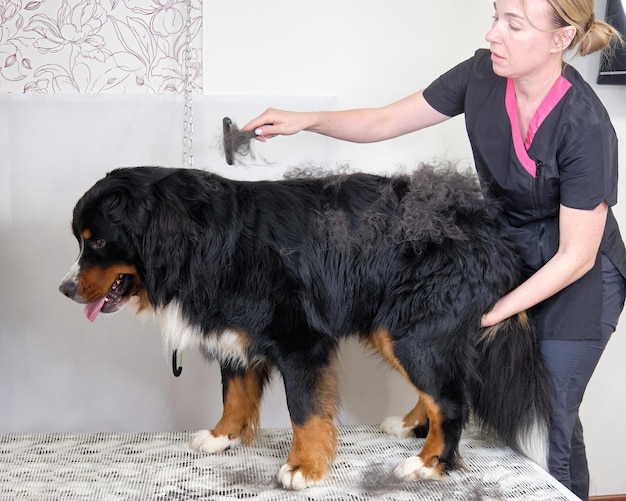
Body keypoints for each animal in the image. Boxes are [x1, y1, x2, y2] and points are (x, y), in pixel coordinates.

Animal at [58, 163, 548, 488]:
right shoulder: (234, 330)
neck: (203, 242)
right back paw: (410, 426)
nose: (64, 289)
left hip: (412, 329)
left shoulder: (299, 339)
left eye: (97, 241)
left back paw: (427, 463)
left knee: (450, 399)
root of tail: (487, 226)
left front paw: (304, 467)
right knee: (438, 390)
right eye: (80, 240)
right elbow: (235, 393)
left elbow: (304, 410)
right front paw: (222, 437)